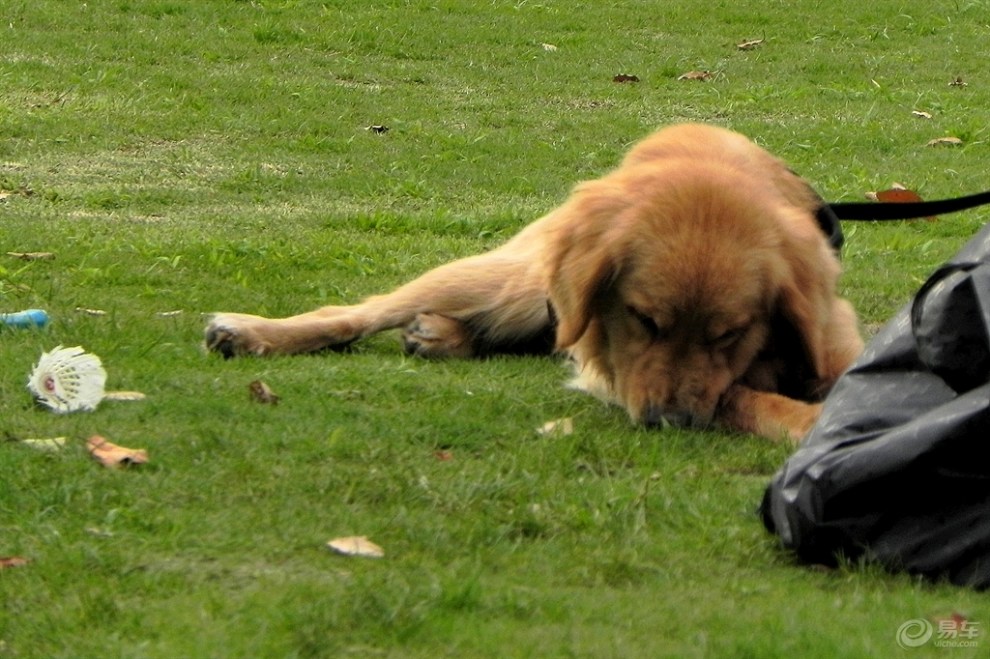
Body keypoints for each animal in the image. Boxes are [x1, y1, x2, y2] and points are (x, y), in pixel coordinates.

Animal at [205, 124, 864, 444]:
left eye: (729, 334)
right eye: (644, 320)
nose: (666, 423)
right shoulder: (617, 371)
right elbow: (741, 397)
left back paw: (441, 336)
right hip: (506, 281)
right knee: (362, 310)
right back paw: (251, 332)